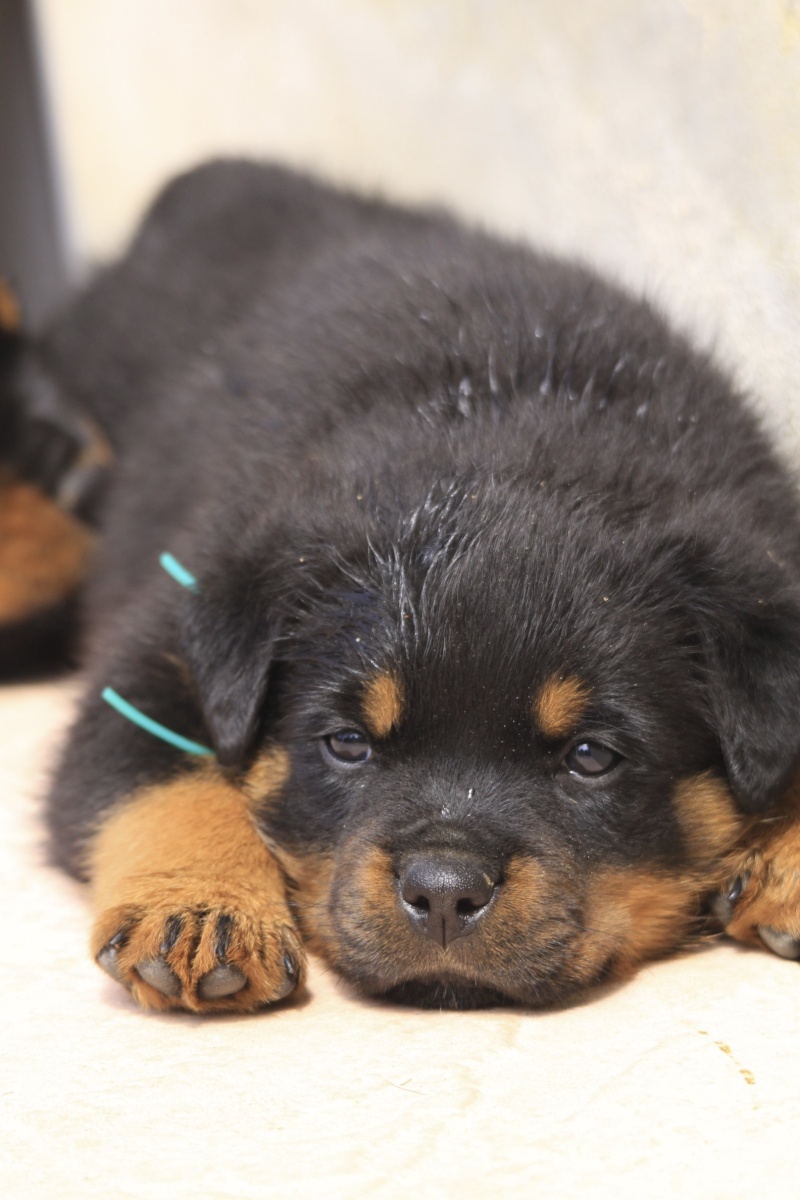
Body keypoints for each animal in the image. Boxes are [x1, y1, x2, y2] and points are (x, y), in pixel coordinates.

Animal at [4, 162, 800, 1012]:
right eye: (347, 744)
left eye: (591, 756)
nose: (444, 891)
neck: (504, 428)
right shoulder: (156, 656)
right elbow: (164, 781)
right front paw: (201, 910)